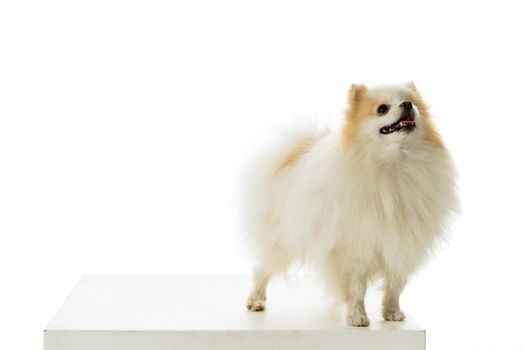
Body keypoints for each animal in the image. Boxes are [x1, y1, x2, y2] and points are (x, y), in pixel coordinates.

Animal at [241, 81, 458, 326]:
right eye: (382, 109)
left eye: (412, 102)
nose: (407, 104)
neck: (395, 166)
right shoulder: (356, 247)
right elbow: (357, 287)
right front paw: (357, 316)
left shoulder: (403, 245)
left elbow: (395, 284)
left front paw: (392, 312)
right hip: (283, 241)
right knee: (261, 268)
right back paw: (255, 300)